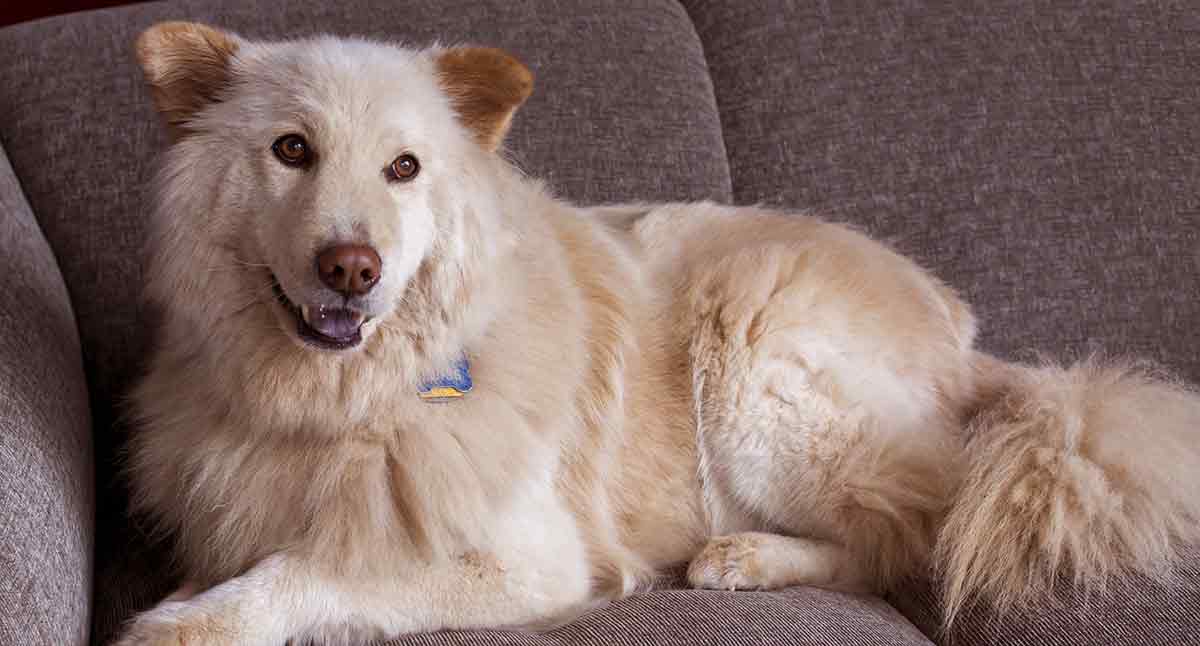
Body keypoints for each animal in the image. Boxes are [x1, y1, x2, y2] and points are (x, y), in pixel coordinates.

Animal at [119, 21, 1200, 643]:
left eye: (404, 168)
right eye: (291, 151)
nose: (353, 268)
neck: (342, 402)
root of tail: (969, 344)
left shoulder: (528, 560)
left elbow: (313, 568)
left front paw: (189, 623)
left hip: (755, 344)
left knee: (909, 538)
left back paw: (746, 558)